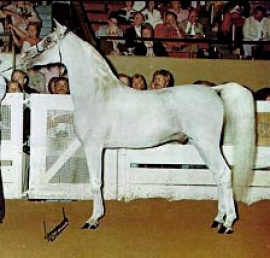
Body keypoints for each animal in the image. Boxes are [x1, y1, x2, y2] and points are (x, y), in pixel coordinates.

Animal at [22, 20, 255, 234]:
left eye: (49, 40)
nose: (26, 56)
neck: (97, 94)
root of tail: (214, 90)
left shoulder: (93, 146)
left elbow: (96, 182)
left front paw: (93, 220)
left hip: (207, 144)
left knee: (224, 173)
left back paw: (227, 224)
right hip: (202, 145)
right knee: (218, 175)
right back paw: (218, 219)